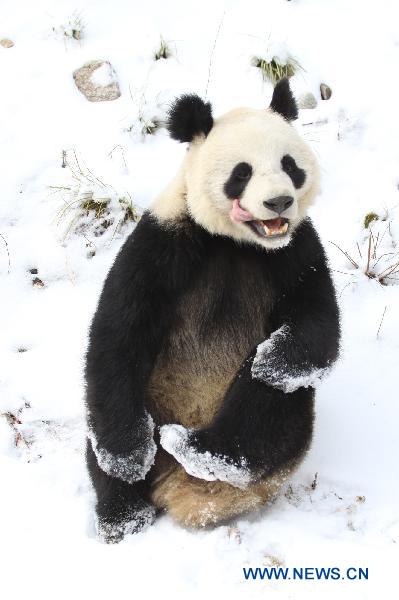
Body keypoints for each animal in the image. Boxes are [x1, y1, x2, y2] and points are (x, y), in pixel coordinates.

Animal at [85, 79, 340, 544]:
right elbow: (119, 334)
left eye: (289, 165)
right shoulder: (163, 242)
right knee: (106, 426)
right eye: (242, 173)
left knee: (272, 406)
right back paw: (123, 514)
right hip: (146, 400)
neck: (235, 241)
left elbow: (317, 325)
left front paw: (272, 360)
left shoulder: (296, 252)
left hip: (283, 427)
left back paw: (207, 452)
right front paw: (127, 459)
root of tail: (179, 486)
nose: (279, 202)